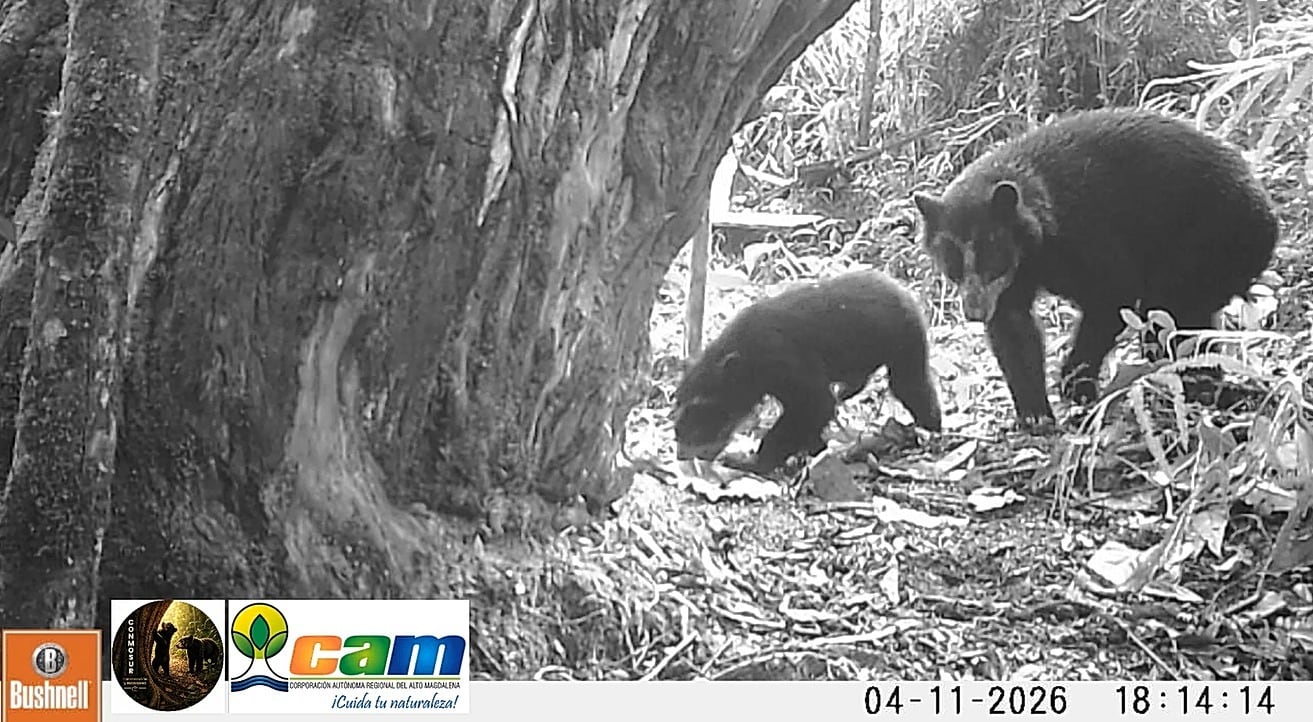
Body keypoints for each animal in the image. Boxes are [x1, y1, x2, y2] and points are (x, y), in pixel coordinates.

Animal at [673, 269, 942, 473]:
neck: (747, 355)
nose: (682, 454)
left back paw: (931, 430)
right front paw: (815, 449)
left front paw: (752, 461)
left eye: (703, 408)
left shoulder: (784, 360)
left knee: (910, 385)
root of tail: (908, 294)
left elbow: (814, 406)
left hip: (905, 340)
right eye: (678, 405)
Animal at [913, 108, 1278, 425]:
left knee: (1173, 316)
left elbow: (1111, 296)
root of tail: (1268, 211)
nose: (974, 311)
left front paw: (1075, 383)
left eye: (992, 259)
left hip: (1211, 237)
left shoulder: (1087, 235)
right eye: (952, 267)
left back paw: (1198, 384)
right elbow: (1014, 329)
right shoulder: (1012, 281)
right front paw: (1035, 413)